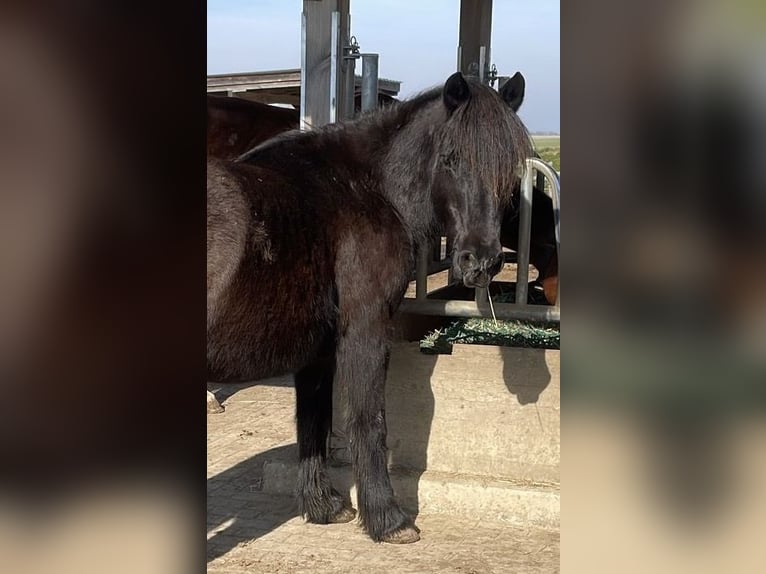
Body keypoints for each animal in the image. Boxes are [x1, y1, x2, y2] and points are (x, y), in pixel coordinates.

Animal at [208, 73, 536, 544]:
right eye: (452, 158)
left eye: (510, 165)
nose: (481, 261)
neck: (362, 190)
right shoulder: (366, 330)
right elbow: (368, 419)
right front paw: (388, 519)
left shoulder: (318, 350)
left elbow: (313, 418)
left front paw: (323, 506)